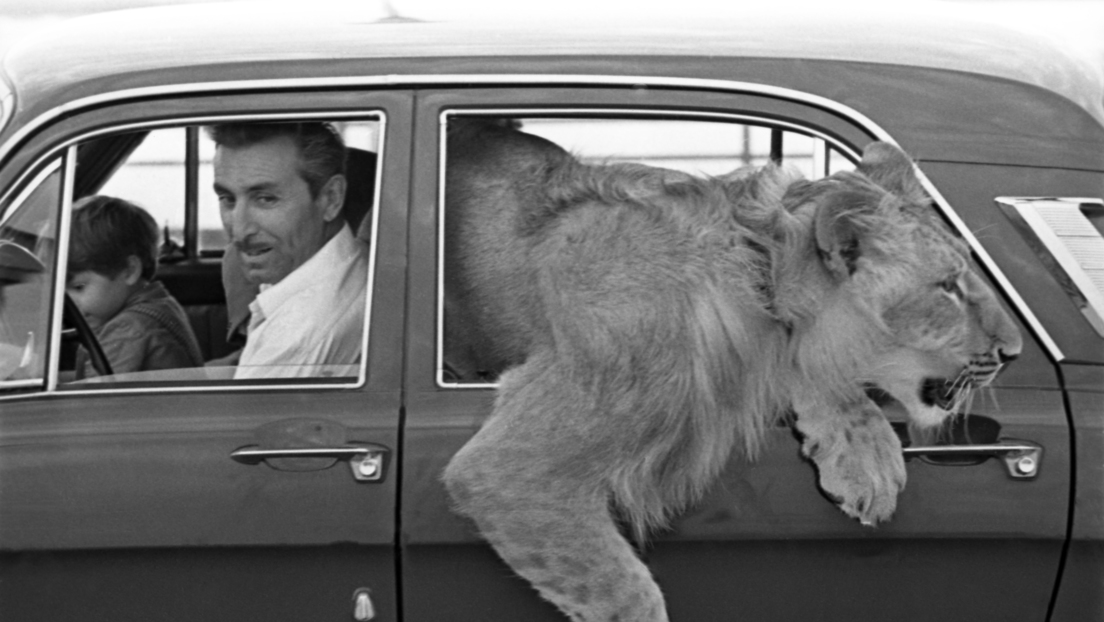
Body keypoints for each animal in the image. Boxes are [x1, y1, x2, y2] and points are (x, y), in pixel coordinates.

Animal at [442, 119, 1022, 622]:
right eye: (947, 287)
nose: (1014, 351)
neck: (755, 276)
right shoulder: (509, 469)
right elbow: (626, 595)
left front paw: (865, 459)